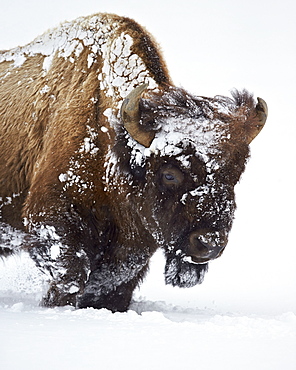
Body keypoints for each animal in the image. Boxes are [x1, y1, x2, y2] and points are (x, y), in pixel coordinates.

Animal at [0, 13, 268, 310]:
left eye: (236, 173)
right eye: (169, 174)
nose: (209, 243)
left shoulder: (135, 243)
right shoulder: (51, 221)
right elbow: (71, 277)